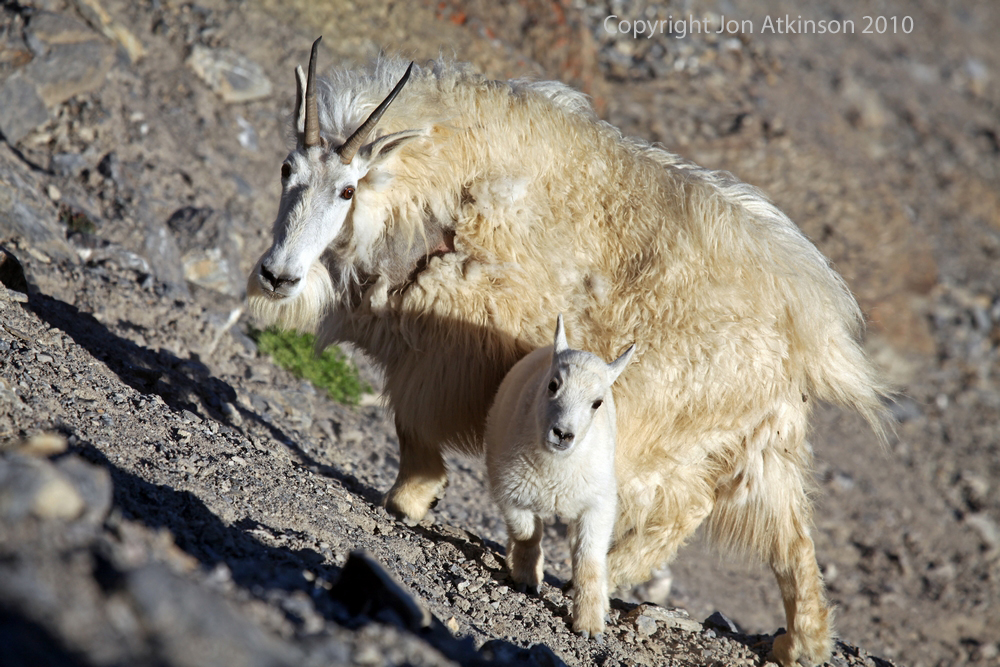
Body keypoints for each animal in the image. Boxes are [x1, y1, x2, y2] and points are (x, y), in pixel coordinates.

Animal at [486, 314, 634, 638]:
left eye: (597, 402)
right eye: (554, 385)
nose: (563, 434)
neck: (554, 468)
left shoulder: (597, 506)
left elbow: (588, 561)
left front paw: (589, 625)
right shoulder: (511, 493)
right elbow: (527, 534)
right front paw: (527, 579)